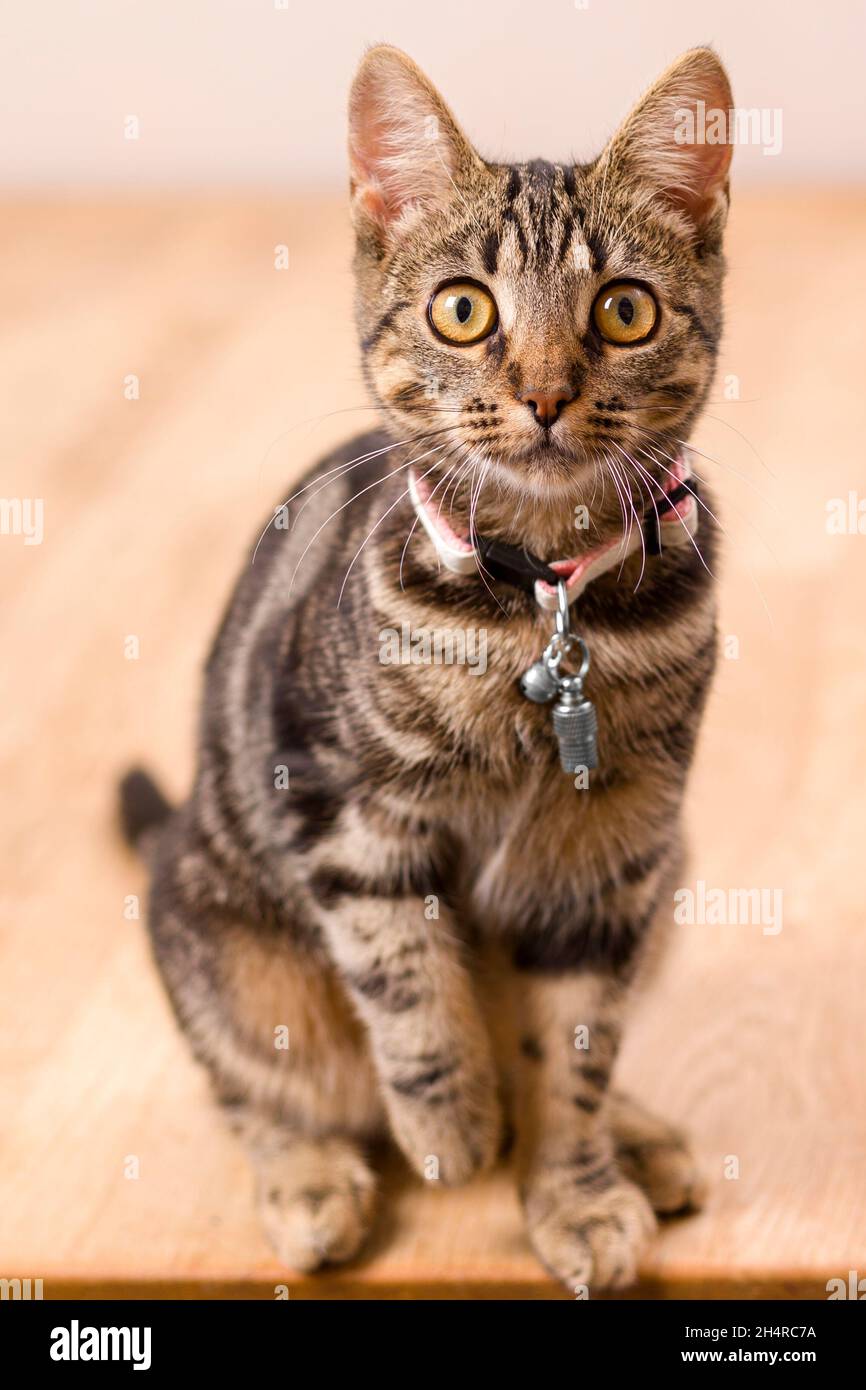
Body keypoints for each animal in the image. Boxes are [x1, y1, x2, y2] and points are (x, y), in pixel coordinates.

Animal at [120, 46, 733, 1301]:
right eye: (463, 309)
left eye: (623, 309)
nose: (543, 392)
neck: (540, 604)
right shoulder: (342, 808)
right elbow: (404, 977)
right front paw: (451, 1120)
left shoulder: (607, 852)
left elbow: (576, 1040)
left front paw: (574, 1185)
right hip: (221, 940)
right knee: (253, 1084)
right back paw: (314, 1177)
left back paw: (635, 1135)